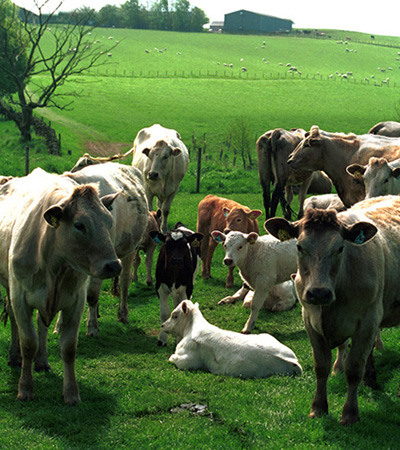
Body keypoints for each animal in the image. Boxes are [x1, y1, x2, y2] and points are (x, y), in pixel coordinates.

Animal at [0, 169, 121, 404]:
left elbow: (68, 348)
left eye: (109, 221)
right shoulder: (20, 298)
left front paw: (71, 393)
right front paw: (25, 388)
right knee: (13, 318)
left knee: (42, 325)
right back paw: (14, 356)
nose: (114, 265)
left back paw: (42, 361)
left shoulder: (75, 301)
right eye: (79, 225)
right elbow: (28, 343)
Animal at [161, 300, 302, 378]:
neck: (191, 328)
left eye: (174, 315)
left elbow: (173, 358)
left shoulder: (187, 360)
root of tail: (295, 362)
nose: (162, 325)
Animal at [264, 196, 400, 422]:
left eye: (340, 248)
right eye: (299, 247)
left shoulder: (367, 322)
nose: (319, 293)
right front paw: (318, 408)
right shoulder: (310, 321)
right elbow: (321, 366)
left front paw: (350, 414)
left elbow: (353, 368)